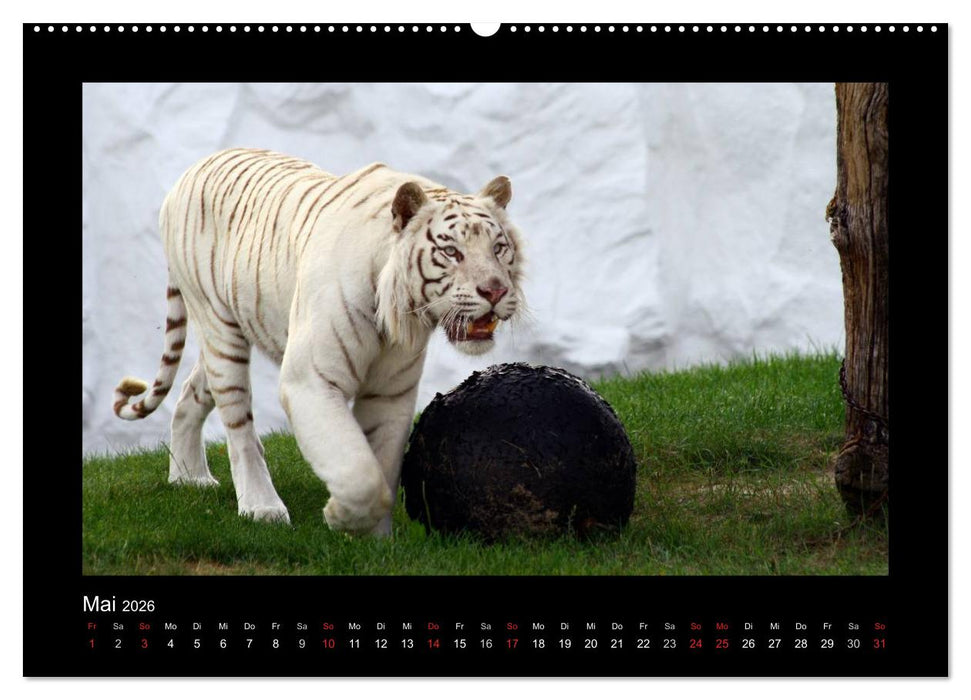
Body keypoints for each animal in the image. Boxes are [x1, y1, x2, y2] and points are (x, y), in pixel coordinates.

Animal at [112, 148, 525, 536]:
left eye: (498, 248)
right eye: (451, 251)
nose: (495, 290)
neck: (396, 313)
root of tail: (195, 167)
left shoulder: (390, 392)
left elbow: (382, 465)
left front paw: (375, 539)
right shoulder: (310, 381)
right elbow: (360, 472)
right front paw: (341, 516)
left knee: (190, 394)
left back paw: (189, 478)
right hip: (220, 328)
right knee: (239, 425)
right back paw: (261, 507)